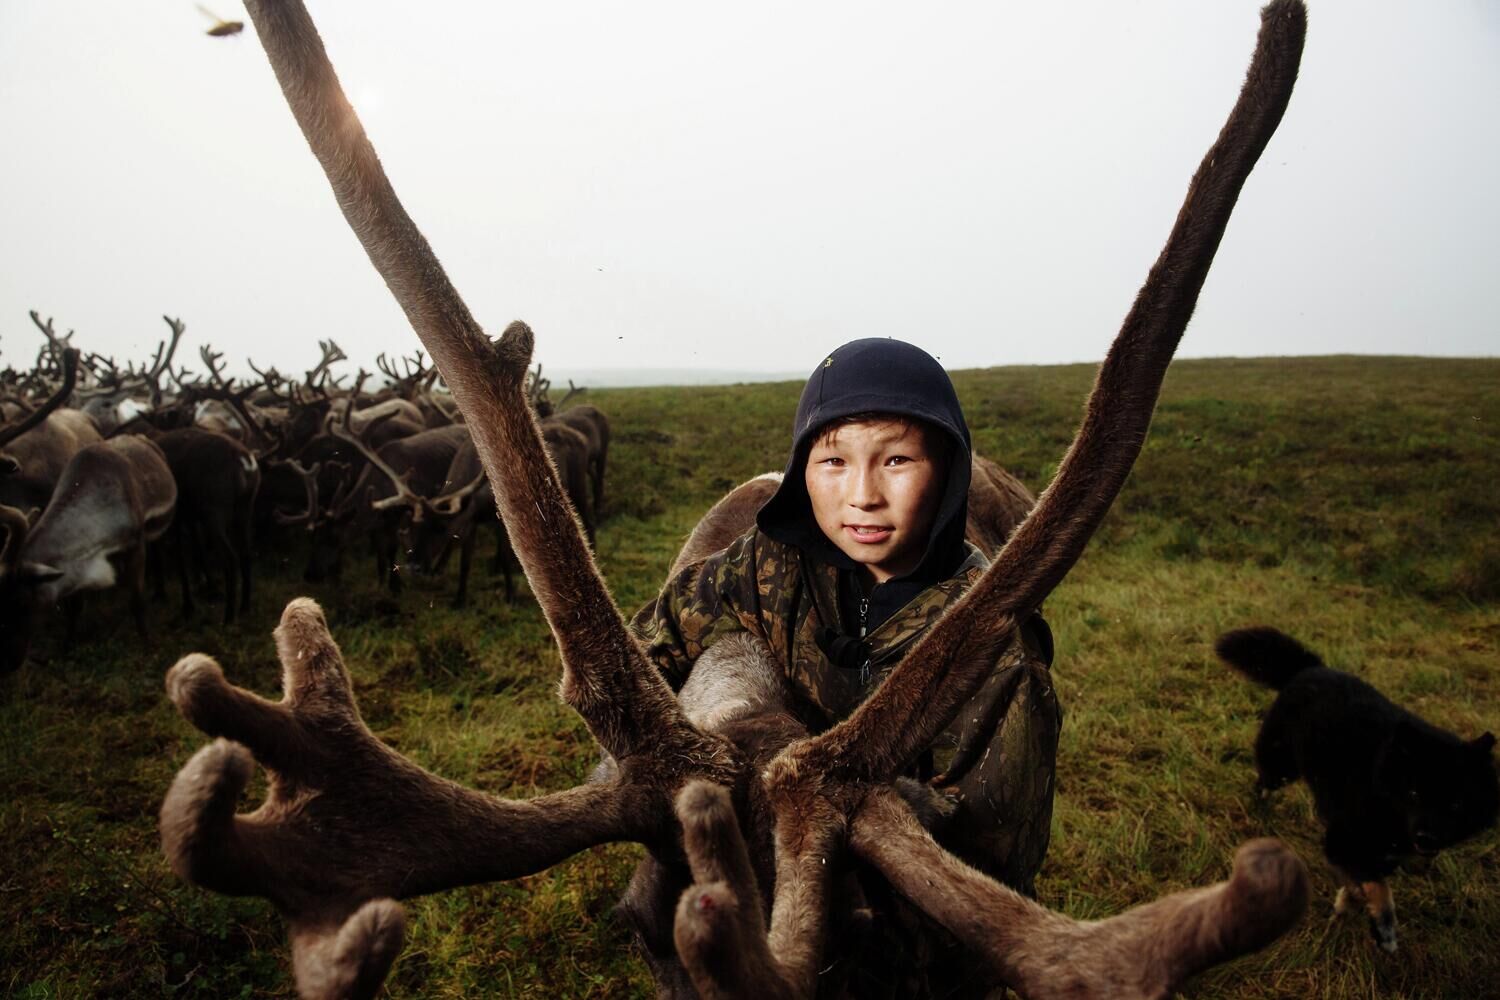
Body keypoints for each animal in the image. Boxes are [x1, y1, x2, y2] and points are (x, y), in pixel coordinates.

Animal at [1212, 626, 1494, 953]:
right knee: (1264, 783)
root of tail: (1310, 667)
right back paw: (1259, 812)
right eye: (1413, 794)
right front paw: (1384, 926)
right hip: (1281, 763)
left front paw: (1349, 907)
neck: (1379, 780)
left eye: (1456, 804)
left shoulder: (1381, 852)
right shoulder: (1343, 839)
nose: (1427, 838)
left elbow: (1361, 882)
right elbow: (1377, 885)